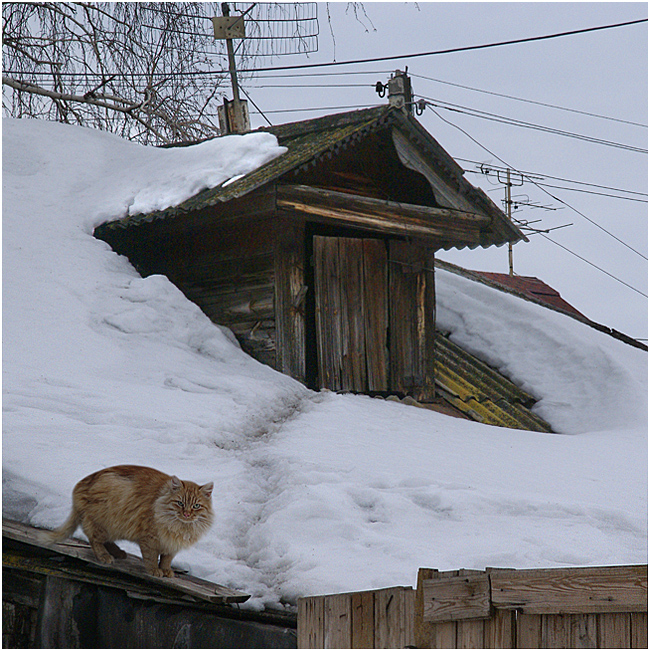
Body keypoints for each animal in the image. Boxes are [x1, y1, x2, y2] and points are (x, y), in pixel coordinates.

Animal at [51, 464, 213, 576]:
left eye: (196, 506)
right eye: (180, 503)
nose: (186, 514)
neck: (180, 526)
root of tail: (81, 484)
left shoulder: (171, 545)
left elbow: (166, 560)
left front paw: (166, 571)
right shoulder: (150, 539)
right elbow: (152, 557)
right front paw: (155, 570)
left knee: (104, 540)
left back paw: (118, 553)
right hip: (104, 522)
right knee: (94, 540)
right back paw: (105, 556)